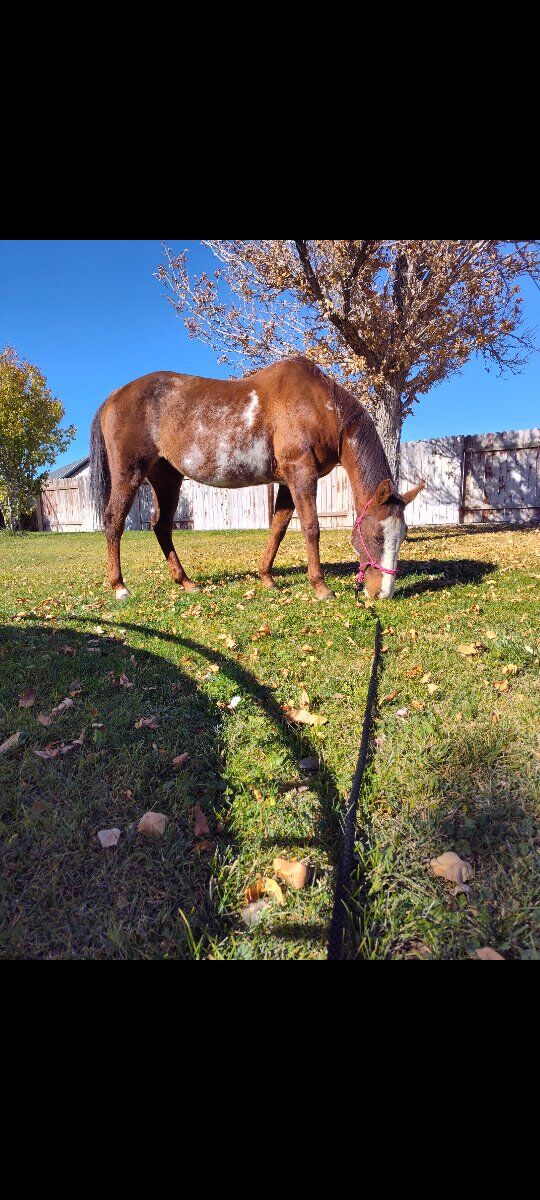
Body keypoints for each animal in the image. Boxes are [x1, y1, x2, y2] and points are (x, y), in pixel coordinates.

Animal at [89, 355, 424, 602]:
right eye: (377, 537)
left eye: (402, 536)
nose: (383, 593)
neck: (320, 405)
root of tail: (113, 396)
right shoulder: (301, 472)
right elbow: (311, 527)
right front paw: (321, 587)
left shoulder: (288, 481)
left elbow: (278, 528)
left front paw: (267, 578)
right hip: (129, 473)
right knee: (114, 521)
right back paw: (120, 587)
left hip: (167, 477)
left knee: (161, 526)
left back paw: (185, 582)